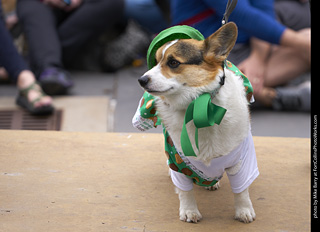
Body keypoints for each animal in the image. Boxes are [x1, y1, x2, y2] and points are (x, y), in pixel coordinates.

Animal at [134, 23, 258, 223]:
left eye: (173, 62)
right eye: (156, 62)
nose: (141, 80)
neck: (198, 107)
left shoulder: (241, 161)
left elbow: (241, 190)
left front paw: (244, 210)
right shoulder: (177, 160)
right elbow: (185, 191)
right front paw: (189, 211)